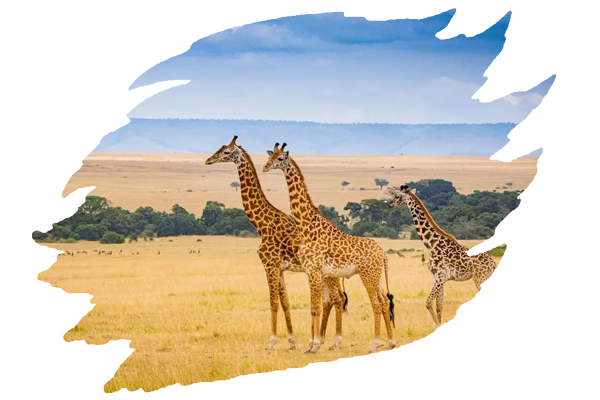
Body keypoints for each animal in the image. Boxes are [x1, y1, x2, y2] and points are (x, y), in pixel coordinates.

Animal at [205, 136, 347, 351]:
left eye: (227, 152)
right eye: (220, 149)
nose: (208, 160)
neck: (262, 224)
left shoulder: (269, 264)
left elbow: (273, 303)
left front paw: (271, 341)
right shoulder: (279, 268)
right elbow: (285, 302)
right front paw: (291, 341)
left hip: (327, 274)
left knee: (336, 298)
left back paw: (334, 341)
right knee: (329, 299)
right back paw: (322, 340)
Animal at [263, 142, 396, 354]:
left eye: (281, 158)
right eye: (270, 156)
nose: (265, 167)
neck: (306, 224)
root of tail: (383, 253)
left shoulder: (313, 270)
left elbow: (315, 307)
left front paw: (314, 345)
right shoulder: (315, 271)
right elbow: (316, 306)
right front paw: (313, 345)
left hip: (368, 275)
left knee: (376, 303)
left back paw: (376, 344)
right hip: (378, 277)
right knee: (383, 301)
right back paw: (390, 344)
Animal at [389, 185, 501, 342]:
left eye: (397, 196)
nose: (389, 204)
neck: (432, 244)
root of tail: (492, 262)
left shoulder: (441, 277)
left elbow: (428, 302)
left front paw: (441, 333)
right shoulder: (437, 278)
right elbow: (439, 304)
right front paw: (437, 336)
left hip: (479, 279)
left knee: (485, 301)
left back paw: (483, 335)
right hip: (487, 279)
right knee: (491, 300)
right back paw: (493, 334)